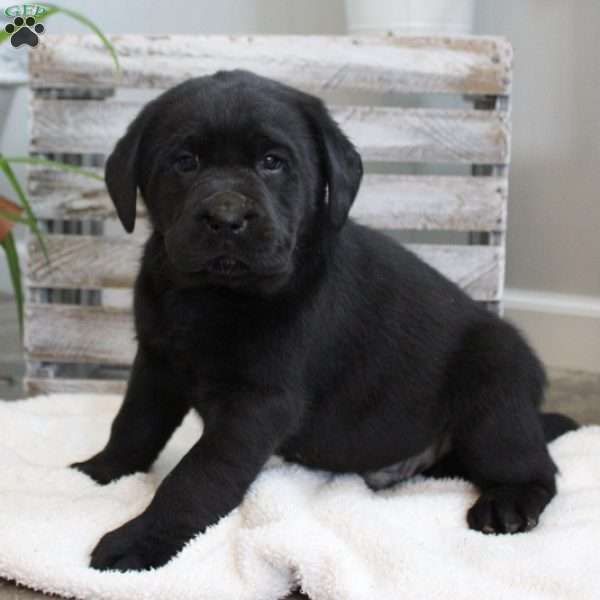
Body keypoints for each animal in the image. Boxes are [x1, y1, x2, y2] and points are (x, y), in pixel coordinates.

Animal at [72, 70, 580, 572]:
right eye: (185, 162)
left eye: (272, 162)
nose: (227, 216)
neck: (212, 296)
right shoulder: (156, 364)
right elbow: (134, 423)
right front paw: (99, 471)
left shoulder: (257, 402)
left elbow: (195, 477)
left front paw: (140, 539)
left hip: (494, 392)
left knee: (538, 469)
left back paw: (506, 504)